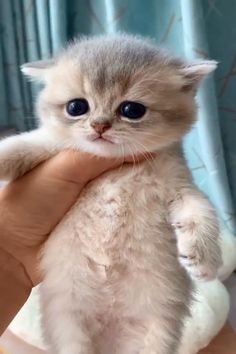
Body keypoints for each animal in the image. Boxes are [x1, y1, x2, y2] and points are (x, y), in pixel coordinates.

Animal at [0, 34, 221, 354]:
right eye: (76, 107)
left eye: (132, 110)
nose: (99, 125)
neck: (116, 172)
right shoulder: (54, 148)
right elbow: (26, 144)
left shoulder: (179, 185)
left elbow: (201, 211)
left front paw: (204, 257)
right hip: (70, 332)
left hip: (155, 336)